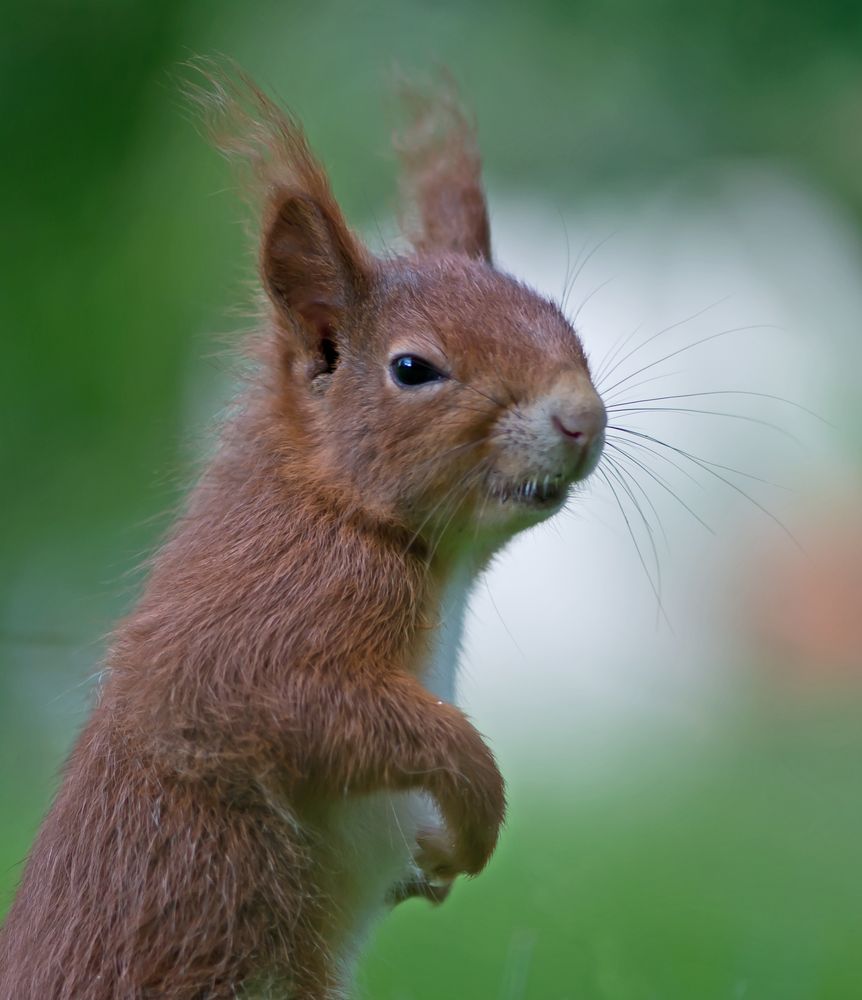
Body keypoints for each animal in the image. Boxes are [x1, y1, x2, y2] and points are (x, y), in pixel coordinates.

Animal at [0, 70, 608, 1000]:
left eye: (558, 317)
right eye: (412, 369)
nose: (583, 417)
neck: (335, 504)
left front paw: (440, 853)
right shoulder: (278, 614)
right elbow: (292, 704)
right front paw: (474, 810)